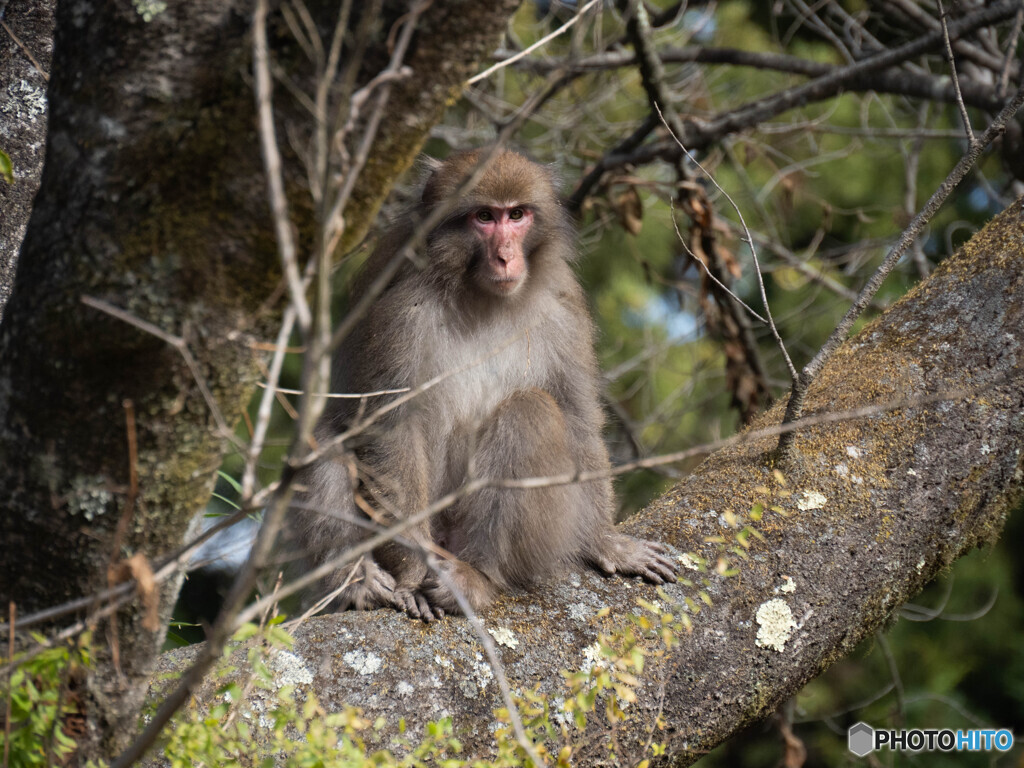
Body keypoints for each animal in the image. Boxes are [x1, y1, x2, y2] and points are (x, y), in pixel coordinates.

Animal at [284, 147, 675, 622]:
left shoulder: (564, 305)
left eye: (518, 214)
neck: (482, 295)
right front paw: (411, 572)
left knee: (531, 410)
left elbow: (578, 416)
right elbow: (392, 426)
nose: (506, 257)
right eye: (485, 217)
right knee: (327, 435)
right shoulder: (403, 311)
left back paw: (477, 577)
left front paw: (605, 542)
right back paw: (356, 582)